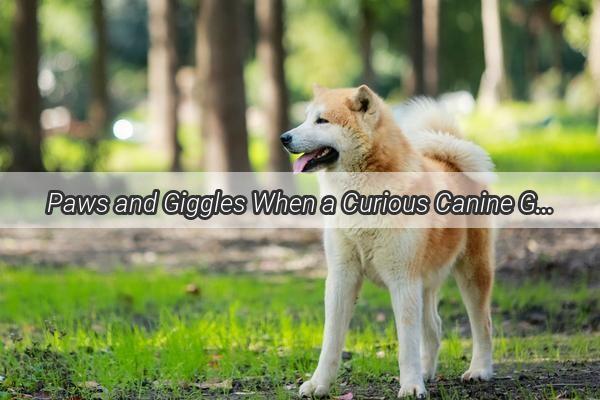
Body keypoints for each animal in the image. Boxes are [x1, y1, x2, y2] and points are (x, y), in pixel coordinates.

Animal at [278, 84, 494, 396]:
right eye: (306, 117)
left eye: (322, 121)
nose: (284, 138)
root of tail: (451, 161)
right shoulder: (342, 277)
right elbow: (331, 342)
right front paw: (319, 384)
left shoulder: (402, 280)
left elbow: (407, 345)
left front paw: (411, 387)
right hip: (425, 283)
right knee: (434, 327)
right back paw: (427, 372)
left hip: (471, 274)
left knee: (482, 325)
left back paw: (479, 370)